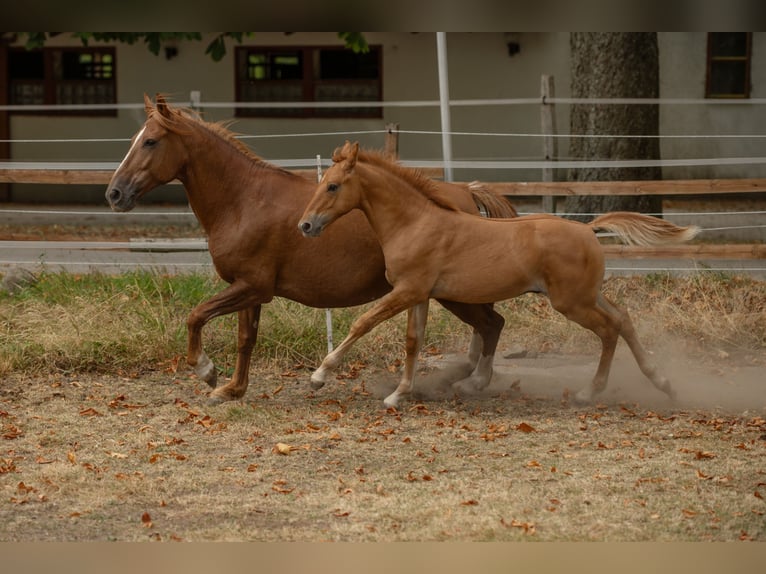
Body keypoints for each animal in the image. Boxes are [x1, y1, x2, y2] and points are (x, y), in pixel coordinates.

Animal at [105, 94, 518, 404]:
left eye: (150, 141)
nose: (114, 193)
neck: (242, 201)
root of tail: (467, 193)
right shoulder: (248, 289)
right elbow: (245, 340)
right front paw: (232, 389)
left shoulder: (252, 287)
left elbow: (196, 316)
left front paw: (207, 372)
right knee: (486, 326)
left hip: (452, 292)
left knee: (491, 324)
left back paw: (473, 381)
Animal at [299, 141, 701, 408]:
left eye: (332, 185)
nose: (305, 225)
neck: (415, 223)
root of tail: (588, 230)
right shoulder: (419, 294)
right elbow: (414, 341)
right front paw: (399, 394)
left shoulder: (407, 291)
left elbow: (362, 323)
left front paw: (319, 377)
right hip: (588, 295)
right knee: (624, 318)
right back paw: (664, 383)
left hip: (571, 303)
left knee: (609, 330)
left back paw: (589, 392)